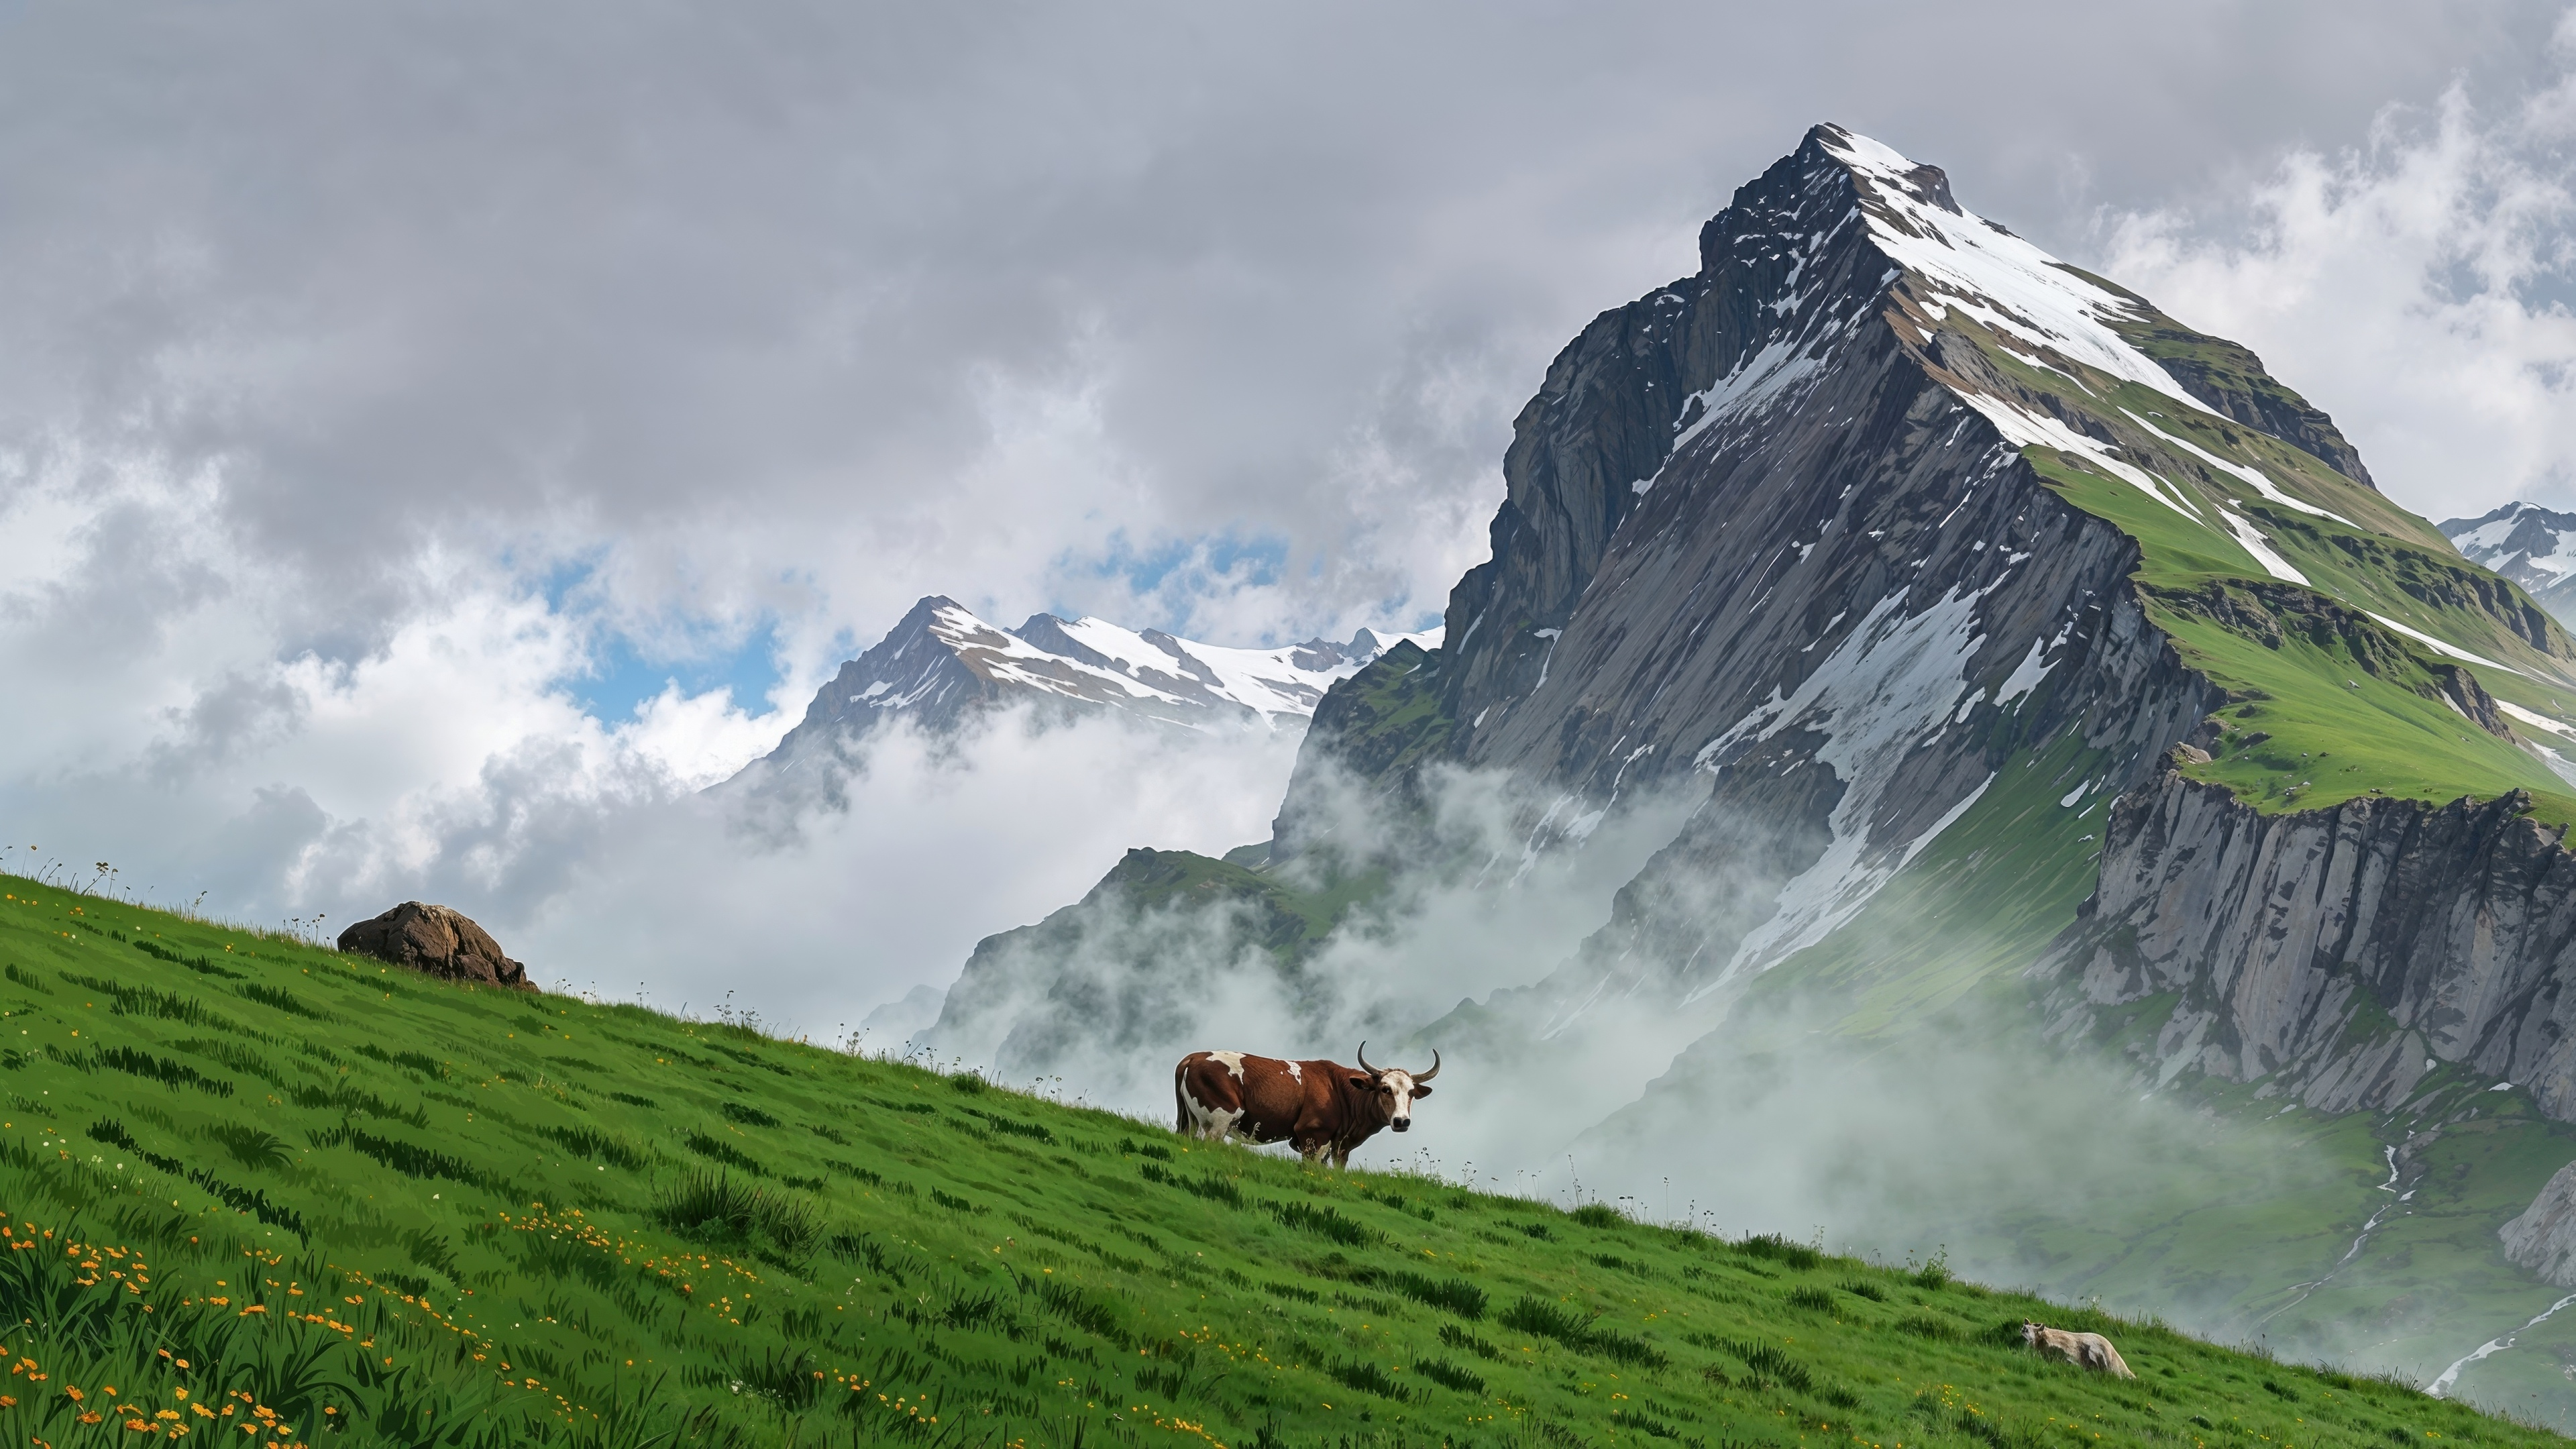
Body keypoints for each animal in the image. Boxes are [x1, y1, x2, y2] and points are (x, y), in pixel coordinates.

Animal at [1174, 1043, 1438, 1168]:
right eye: (1385, 1089)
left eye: (1411, 1092)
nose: (1402, 1121)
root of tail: (1193, 1057)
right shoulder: (1312, 1134)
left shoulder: (1338, 1146)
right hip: (1219, 1120)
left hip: (1189, 1121)